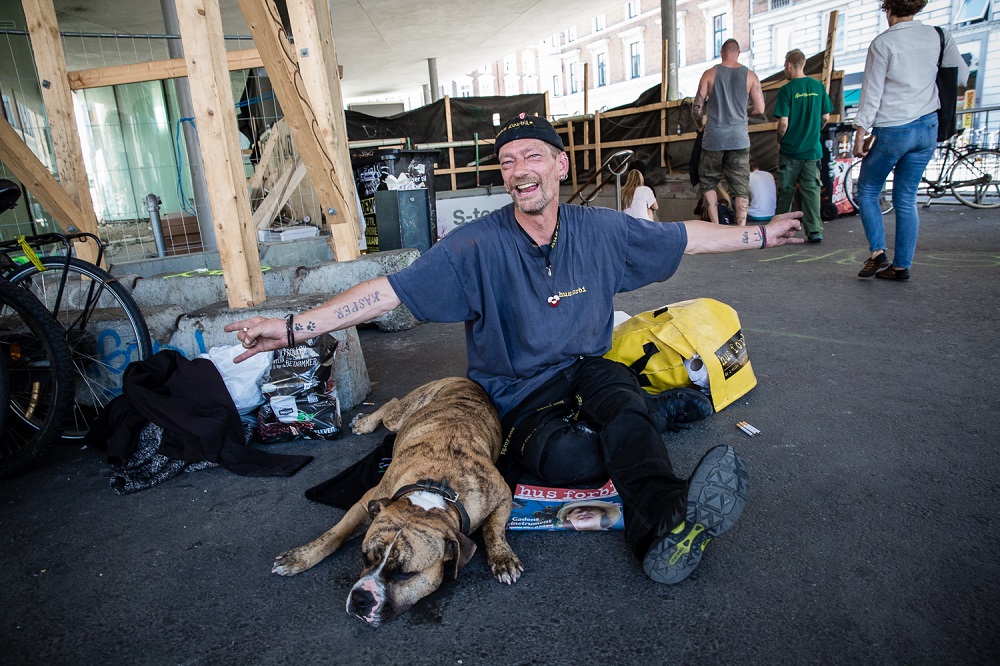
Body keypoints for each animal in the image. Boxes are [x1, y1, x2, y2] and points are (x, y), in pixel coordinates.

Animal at [272, 376, 524, 624]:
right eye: (364, 557)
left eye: (405, 574)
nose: (361, 599)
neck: (435, 488)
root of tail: (461, 378)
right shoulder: (366, 501)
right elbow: (334, 535)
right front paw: (298, 557)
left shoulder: (503, 495)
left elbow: (493, 527)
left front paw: (502, 557)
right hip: (402, 414)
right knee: (391, 405)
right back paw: (365, 422)